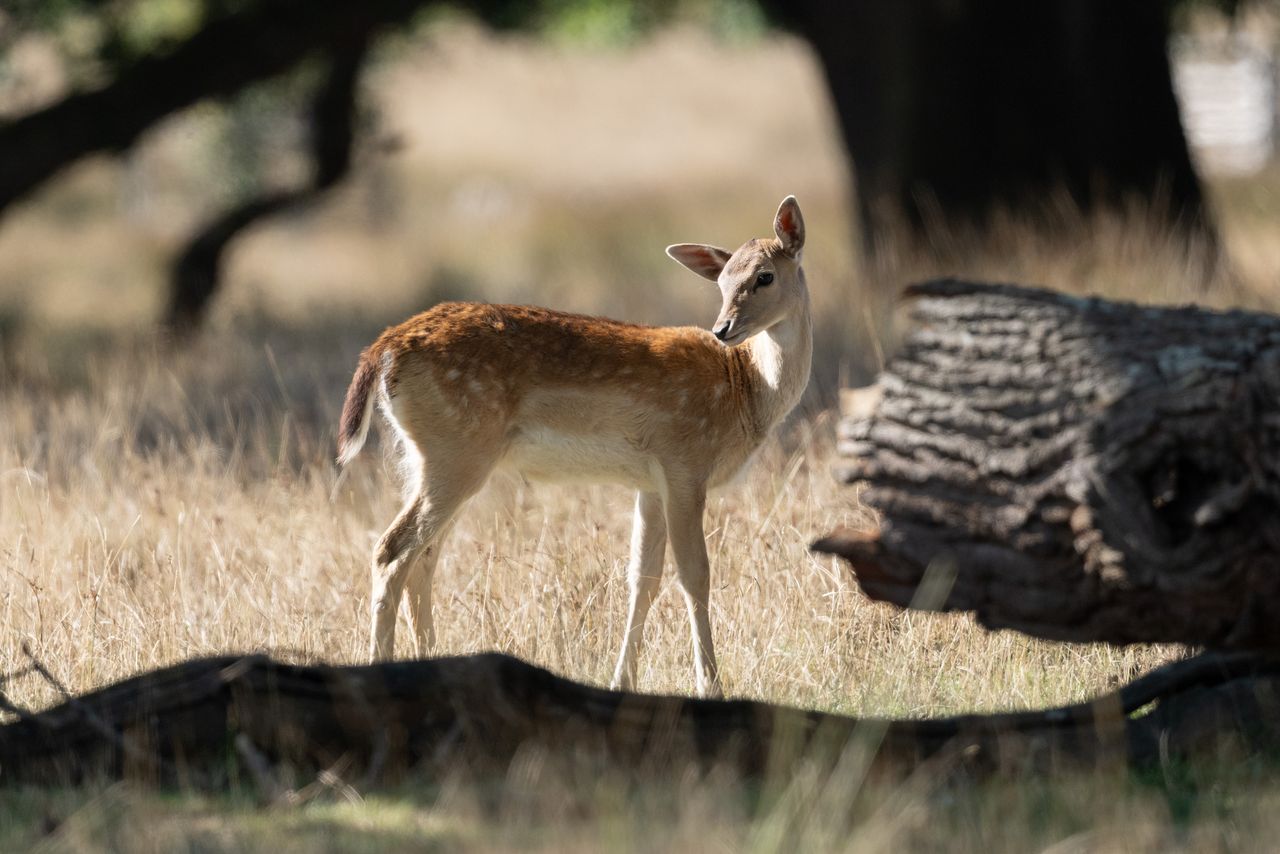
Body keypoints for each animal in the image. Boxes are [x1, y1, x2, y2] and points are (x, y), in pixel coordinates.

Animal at [336, 196, 811, 698]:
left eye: (764, 276)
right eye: (721, 282)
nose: (723, 328)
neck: (743, 388)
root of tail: (383, 348)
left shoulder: (652, 481)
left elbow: (642, 578)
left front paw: (623, 681)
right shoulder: (685, 463)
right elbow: (694, 574)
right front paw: (712, 687)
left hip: (434, 457)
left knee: (423, 559)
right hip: (456, 452)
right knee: (391, 552)